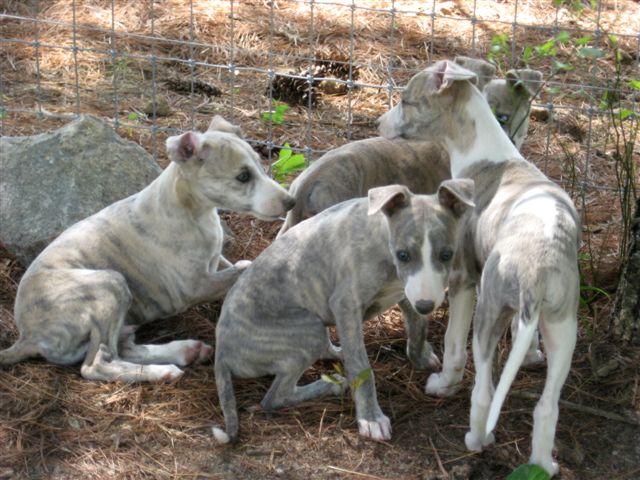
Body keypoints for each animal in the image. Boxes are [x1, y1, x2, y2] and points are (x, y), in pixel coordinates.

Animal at [0, 115, 296, 382]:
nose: (291, 201)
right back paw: (162, 371)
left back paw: (184, 351)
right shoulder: (193, 287)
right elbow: (242, 269)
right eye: (243, 176)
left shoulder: (216, 259)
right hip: (109, 284)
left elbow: (236, 266)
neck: (193, 212)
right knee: (97, 365)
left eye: (260, 165)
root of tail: (28, 336)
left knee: (123, 349)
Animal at [211, 178, 476, 444]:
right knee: (275, 397)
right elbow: (362, 367)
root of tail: (221, 352)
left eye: (447, 254)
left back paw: (338, 355)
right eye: (403, 255)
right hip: (307, 329)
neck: (382, 237)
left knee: (330, 350)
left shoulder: (408, 291)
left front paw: (420, 356)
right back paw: (332, 385)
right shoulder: (346, 304)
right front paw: (371, 418)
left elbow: (418, 328)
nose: (427, 306)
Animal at [378, 61, 584, 476]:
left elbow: (452, 344)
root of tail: (538, 268)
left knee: (486, 390)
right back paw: (542, 463)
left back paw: (476, 438)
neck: (487, 153)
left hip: (489, 311)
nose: (378, 123)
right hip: (563, 325)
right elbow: (527, 345)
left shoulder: (462, 281)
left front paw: (443, 382)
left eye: (406, 101)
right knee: (547, 406)